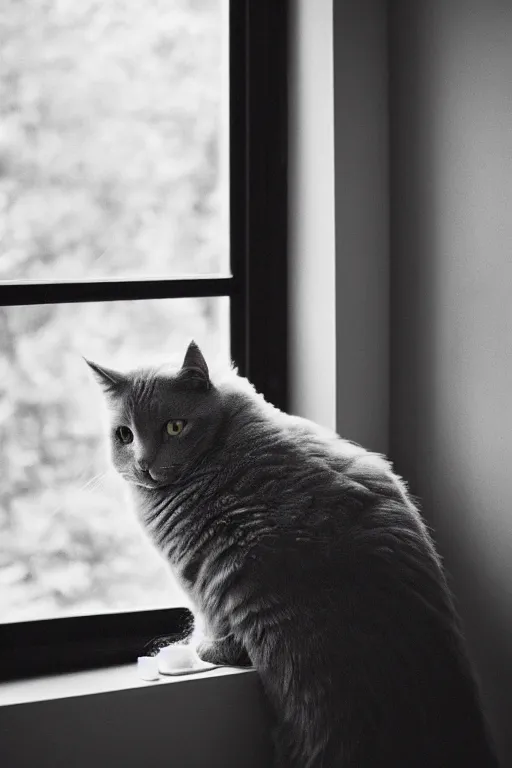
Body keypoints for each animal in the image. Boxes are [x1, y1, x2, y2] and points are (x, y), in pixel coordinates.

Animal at [88, 342, 500, 768]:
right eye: (124, 435)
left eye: (174, 427)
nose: (142, 463)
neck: (222, 440)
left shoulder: (201, 571)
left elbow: (211, 619)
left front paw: (207, 649)